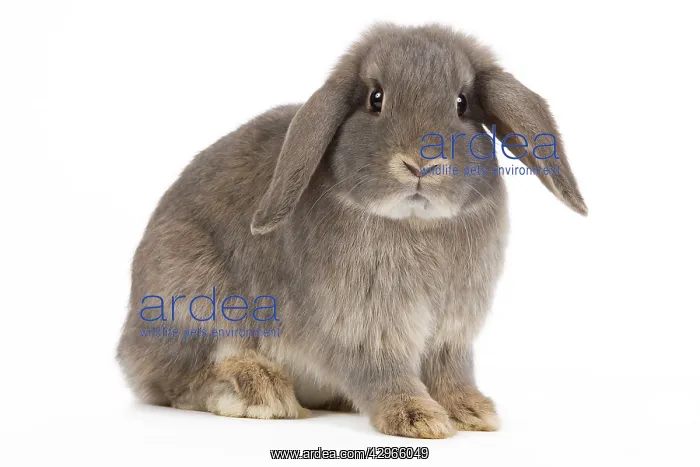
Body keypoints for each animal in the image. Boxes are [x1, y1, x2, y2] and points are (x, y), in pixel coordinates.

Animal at [117, 22, 586, 439]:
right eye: (376, 99)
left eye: (462, 103)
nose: (422, 163)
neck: (414, 223)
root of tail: (128, 344)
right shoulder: (363, 329)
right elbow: (382, 372)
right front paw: (417, 418)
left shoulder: (450, 334)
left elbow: (450, 372)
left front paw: (471, 411)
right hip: (193, 300)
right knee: (179, 380)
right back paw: (256, 389)